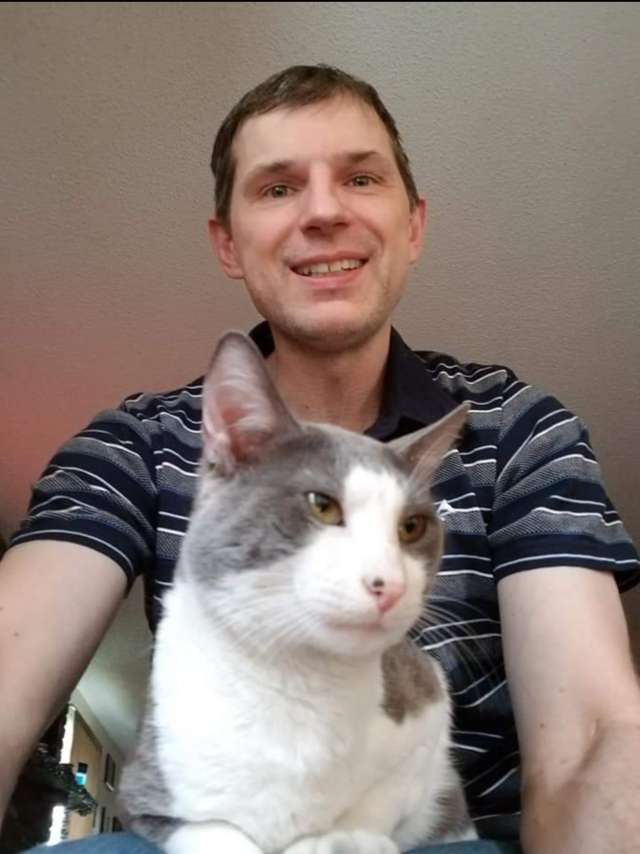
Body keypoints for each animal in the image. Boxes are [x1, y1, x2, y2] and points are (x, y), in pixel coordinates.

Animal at [117, 331, 477, 854]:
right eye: (322, 506)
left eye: (411, 527)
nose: (389, 585)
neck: (296, 681)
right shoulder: (147, 791)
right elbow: (217, 834)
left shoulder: (425, 699)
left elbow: (381, 800)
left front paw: (345, 838)